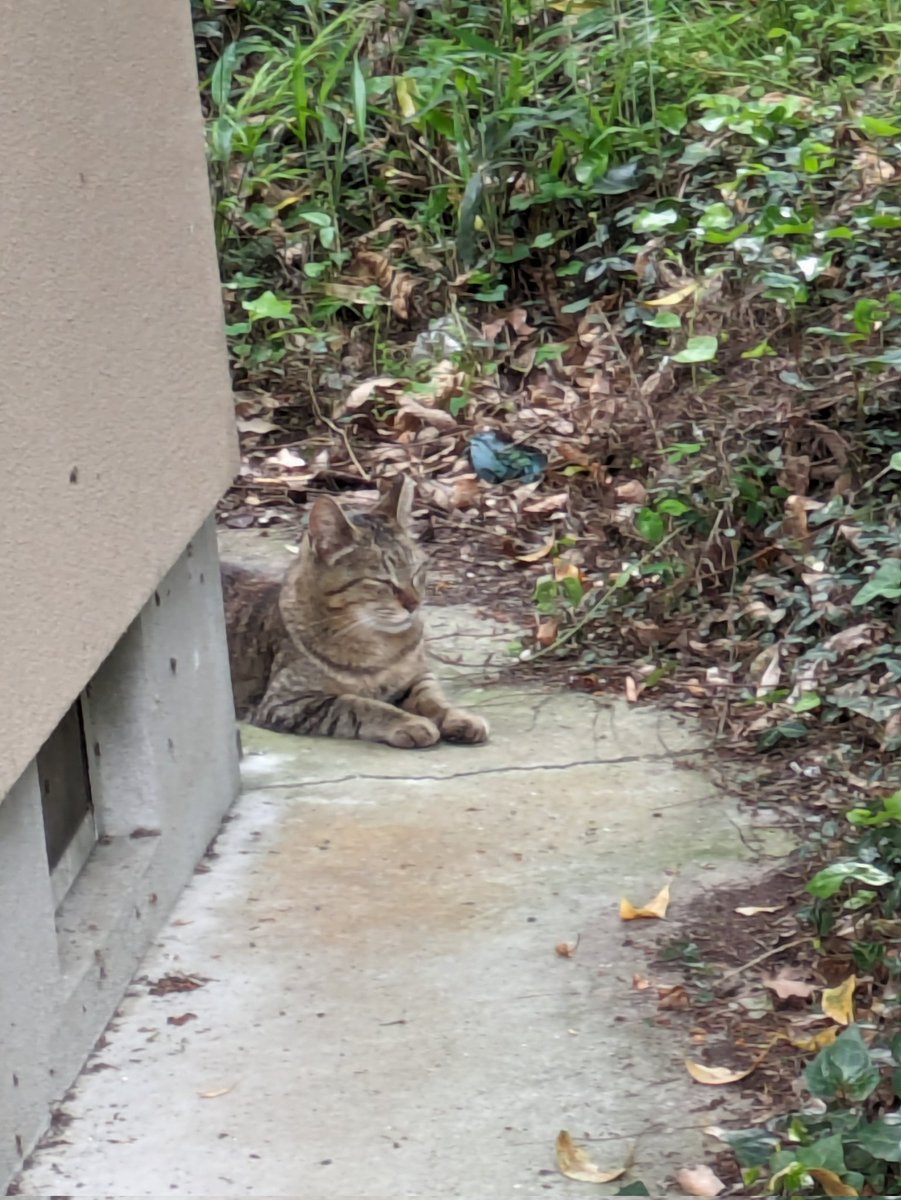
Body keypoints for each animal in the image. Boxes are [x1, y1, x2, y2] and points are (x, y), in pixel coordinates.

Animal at [219, 477, 489, 748]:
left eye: (417, 572)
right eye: (382, 581)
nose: (414, 604)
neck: (382, 647)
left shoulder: (418, 676)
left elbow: (433, 698)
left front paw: (458, 717)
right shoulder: (288, 701)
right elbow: (359, 705)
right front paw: (410, 722)